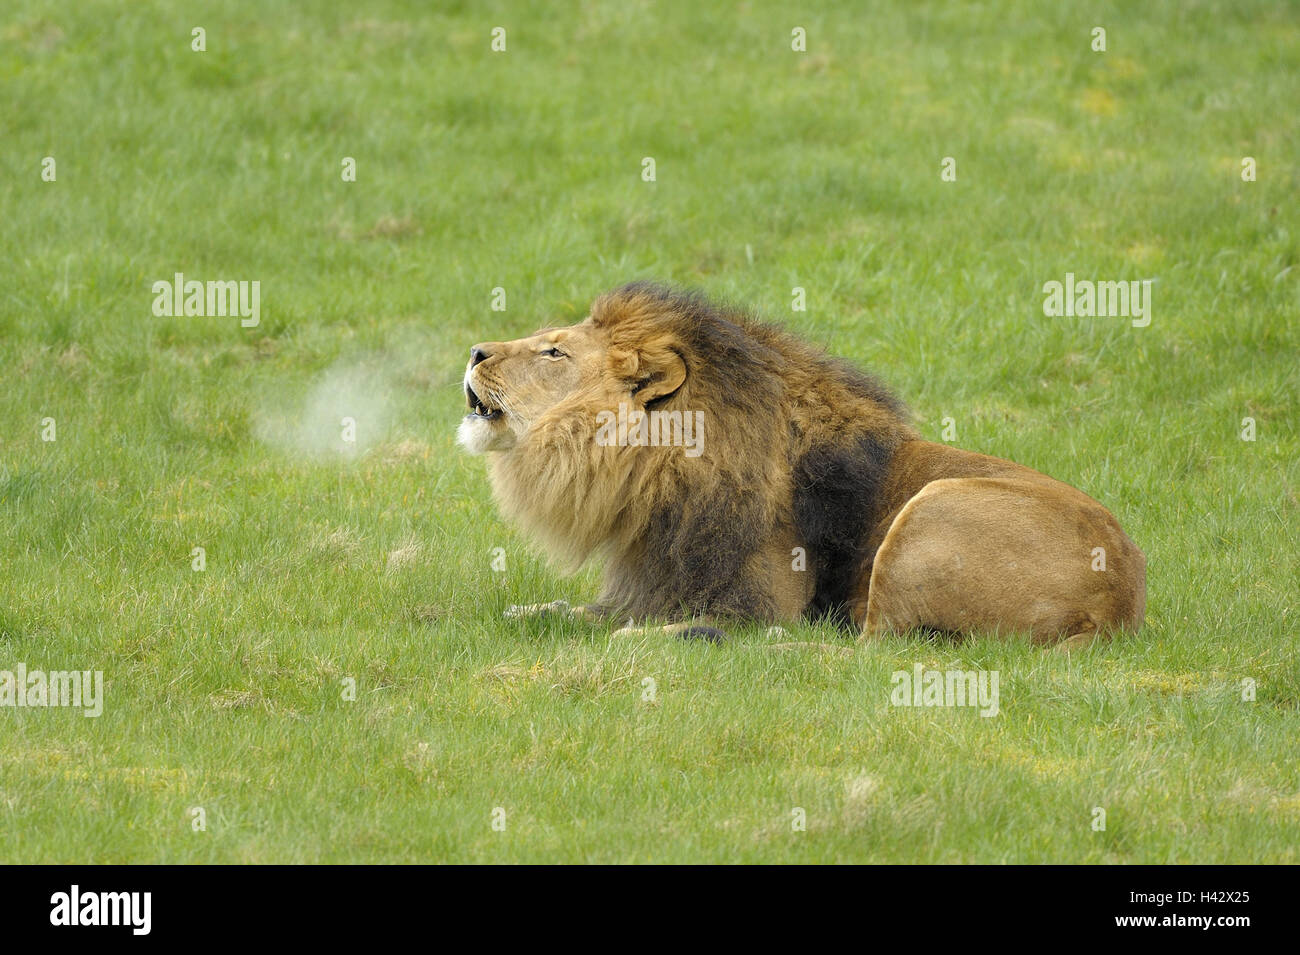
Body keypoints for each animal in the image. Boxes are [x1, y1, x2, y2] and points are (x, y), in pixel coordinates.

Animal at [460, 278, 1149, 649]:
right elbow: (551, 611)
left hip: (933, 509)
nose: (473, 351)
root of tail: (1118, 607)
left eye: (554, 352)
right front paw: (500, 618)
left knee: (859, 649)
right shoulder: (651, 584)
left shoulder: (760, 601)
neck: (652, 473)